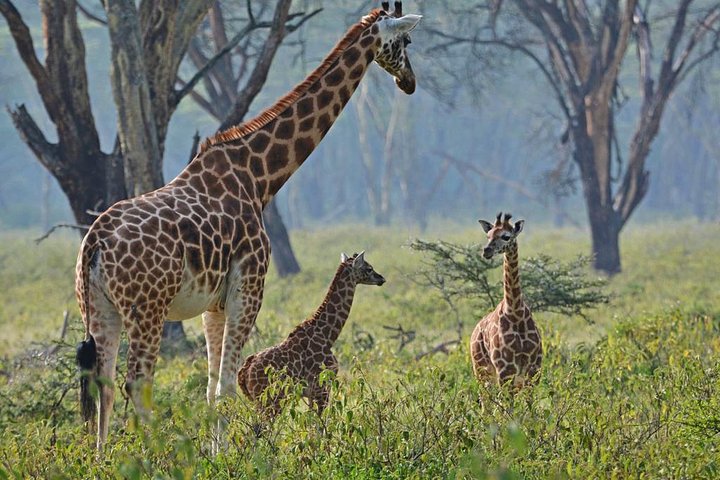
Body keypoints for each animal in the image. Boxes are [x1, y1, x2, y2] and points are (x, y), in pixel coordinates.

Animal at [238, 252, 385, 416]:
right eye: (369, 268)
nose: (381, 278)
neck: (327, 335)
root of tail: (244, 372)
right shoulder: (321, 387)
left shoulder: (311, 392)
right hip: (271, 400)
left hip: (256, 401)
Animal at [469, 213, 543, 388]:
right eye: (488, 236)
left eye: (506, 236)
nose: (486, 251)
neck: (516, 312)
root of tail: (474, 332)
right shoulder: (505, 369)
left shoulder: (533, 370)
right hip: (482, 371)